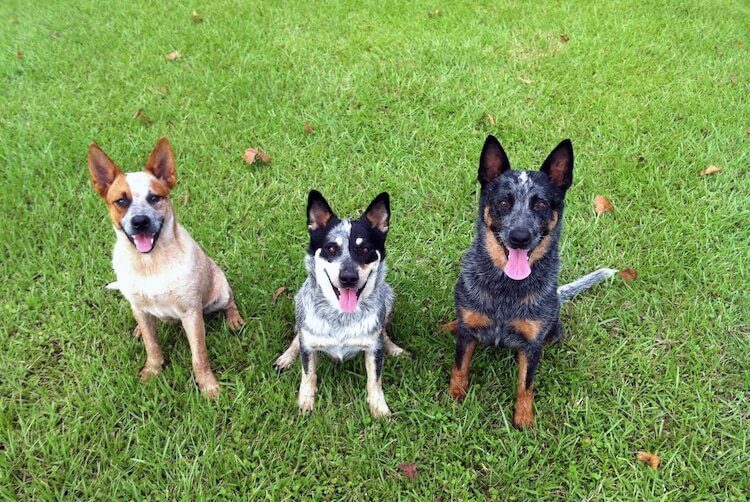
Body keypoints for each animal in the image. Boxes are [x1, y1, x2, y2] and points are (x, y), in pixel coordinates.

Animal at [89, 139, 244, 398]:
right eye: (121, 201)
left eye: (154, 198)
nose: (140, 222)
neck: (150, 264)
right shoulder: (141, 308)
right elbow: (152, 346)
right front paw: (152, 371)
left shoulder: (191, 313)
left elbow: (199, 356)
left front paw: (208, 386)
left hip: (219, 292)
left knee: (230, 301)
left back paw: (234, 320)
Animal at [452, 135, 616, 430]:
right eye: (504, 202)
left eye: (540, 204)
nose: (520, 236)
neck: (506, 290)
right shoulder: (467, 332)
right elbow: (459, 367)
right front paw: (456, 394)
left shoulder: (531, 347)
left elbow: (525, 385)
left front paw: (524, 418)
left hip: (554, 332)